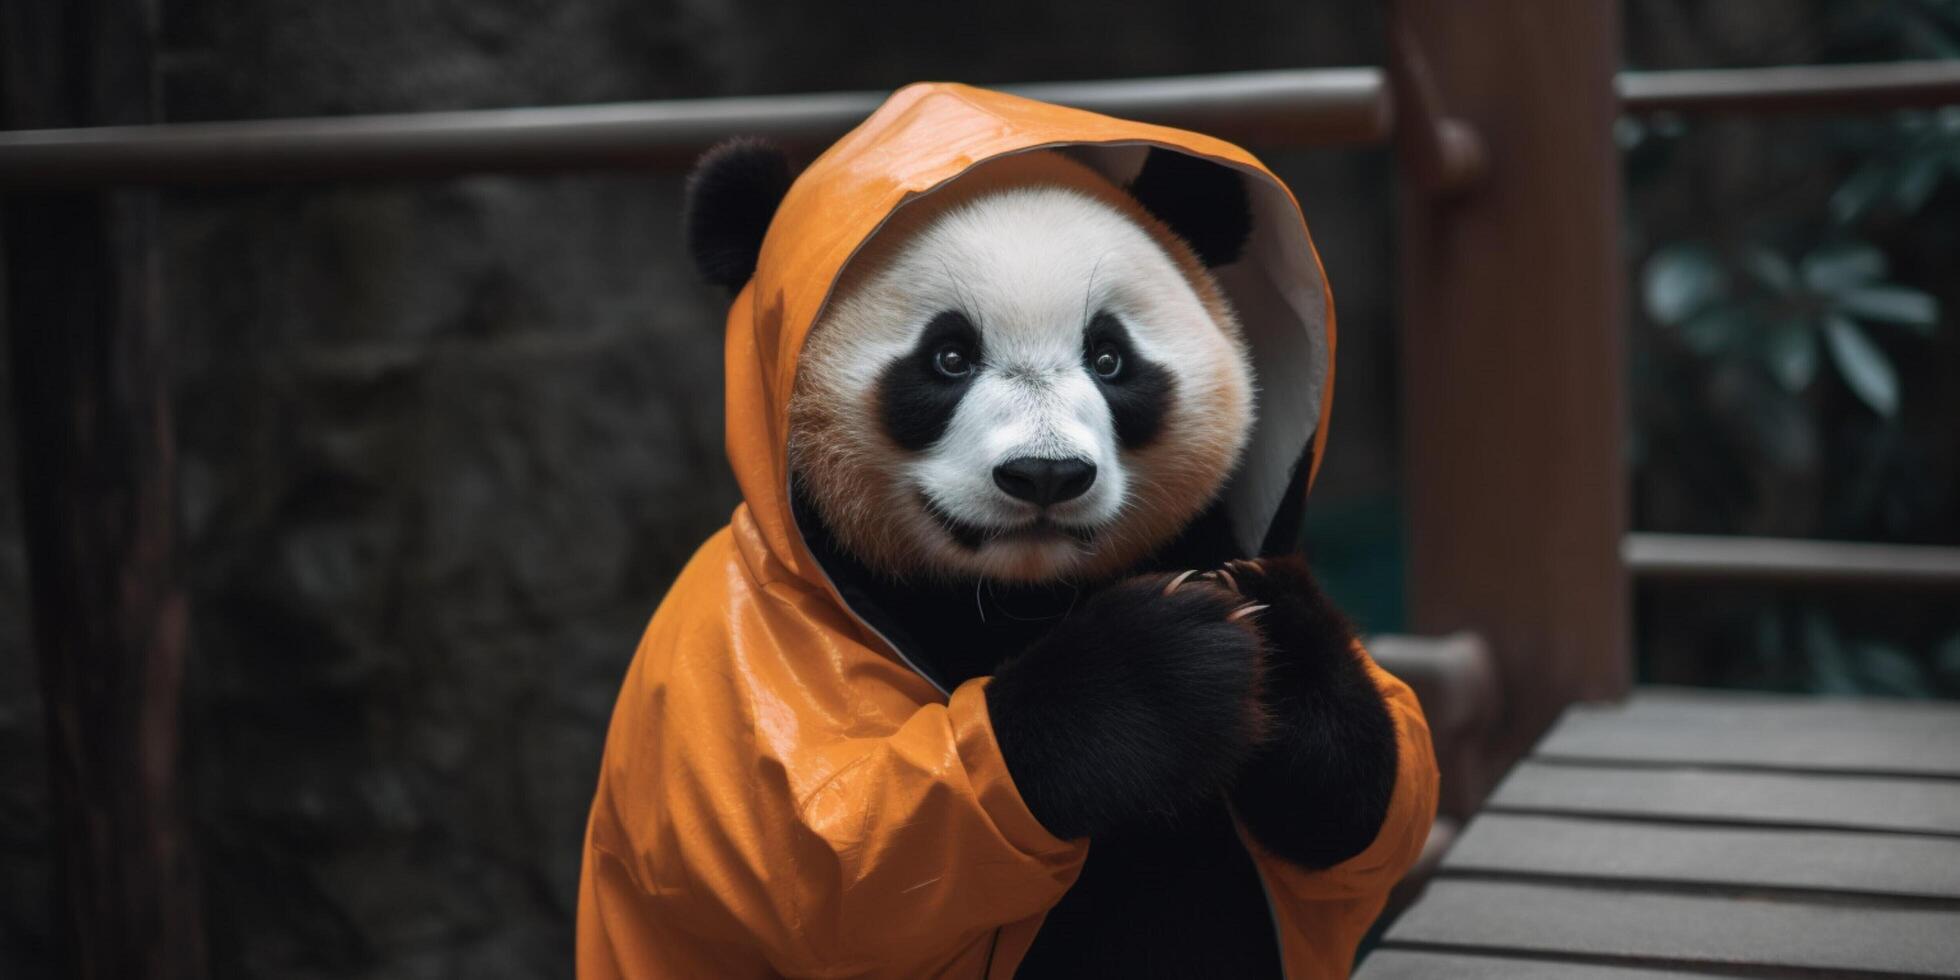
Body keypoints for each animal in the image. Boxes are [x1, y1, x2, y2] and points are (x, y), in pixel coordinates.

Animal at [674, 140, 1411, 980]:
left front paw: (1270, 628)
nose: (1045, 475)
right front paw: (1157, 668)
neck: (1018, 594)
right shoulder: (744, 670)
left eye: (1110, 357)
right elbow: (831, 872)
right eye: (949, 356)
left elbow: (1359, 810)